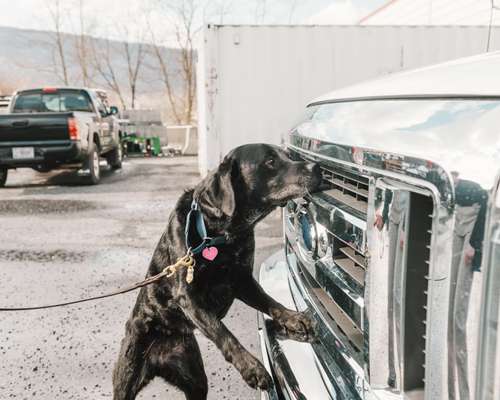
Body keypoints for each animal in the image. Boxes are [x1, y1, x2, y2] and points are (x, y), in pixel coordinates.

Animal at [113, 144, 320, 400]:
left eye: (288, 156)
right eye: (270, 161)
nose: (317, 167)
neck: (218, 234)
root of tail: (159, 360)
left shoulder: (242, 281)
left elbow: (270, 302)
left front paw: (293, 317)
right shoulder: (188, 295)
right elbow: (222, 332)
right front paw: (251, 367)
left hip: (195, 379)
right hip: (128, 375)